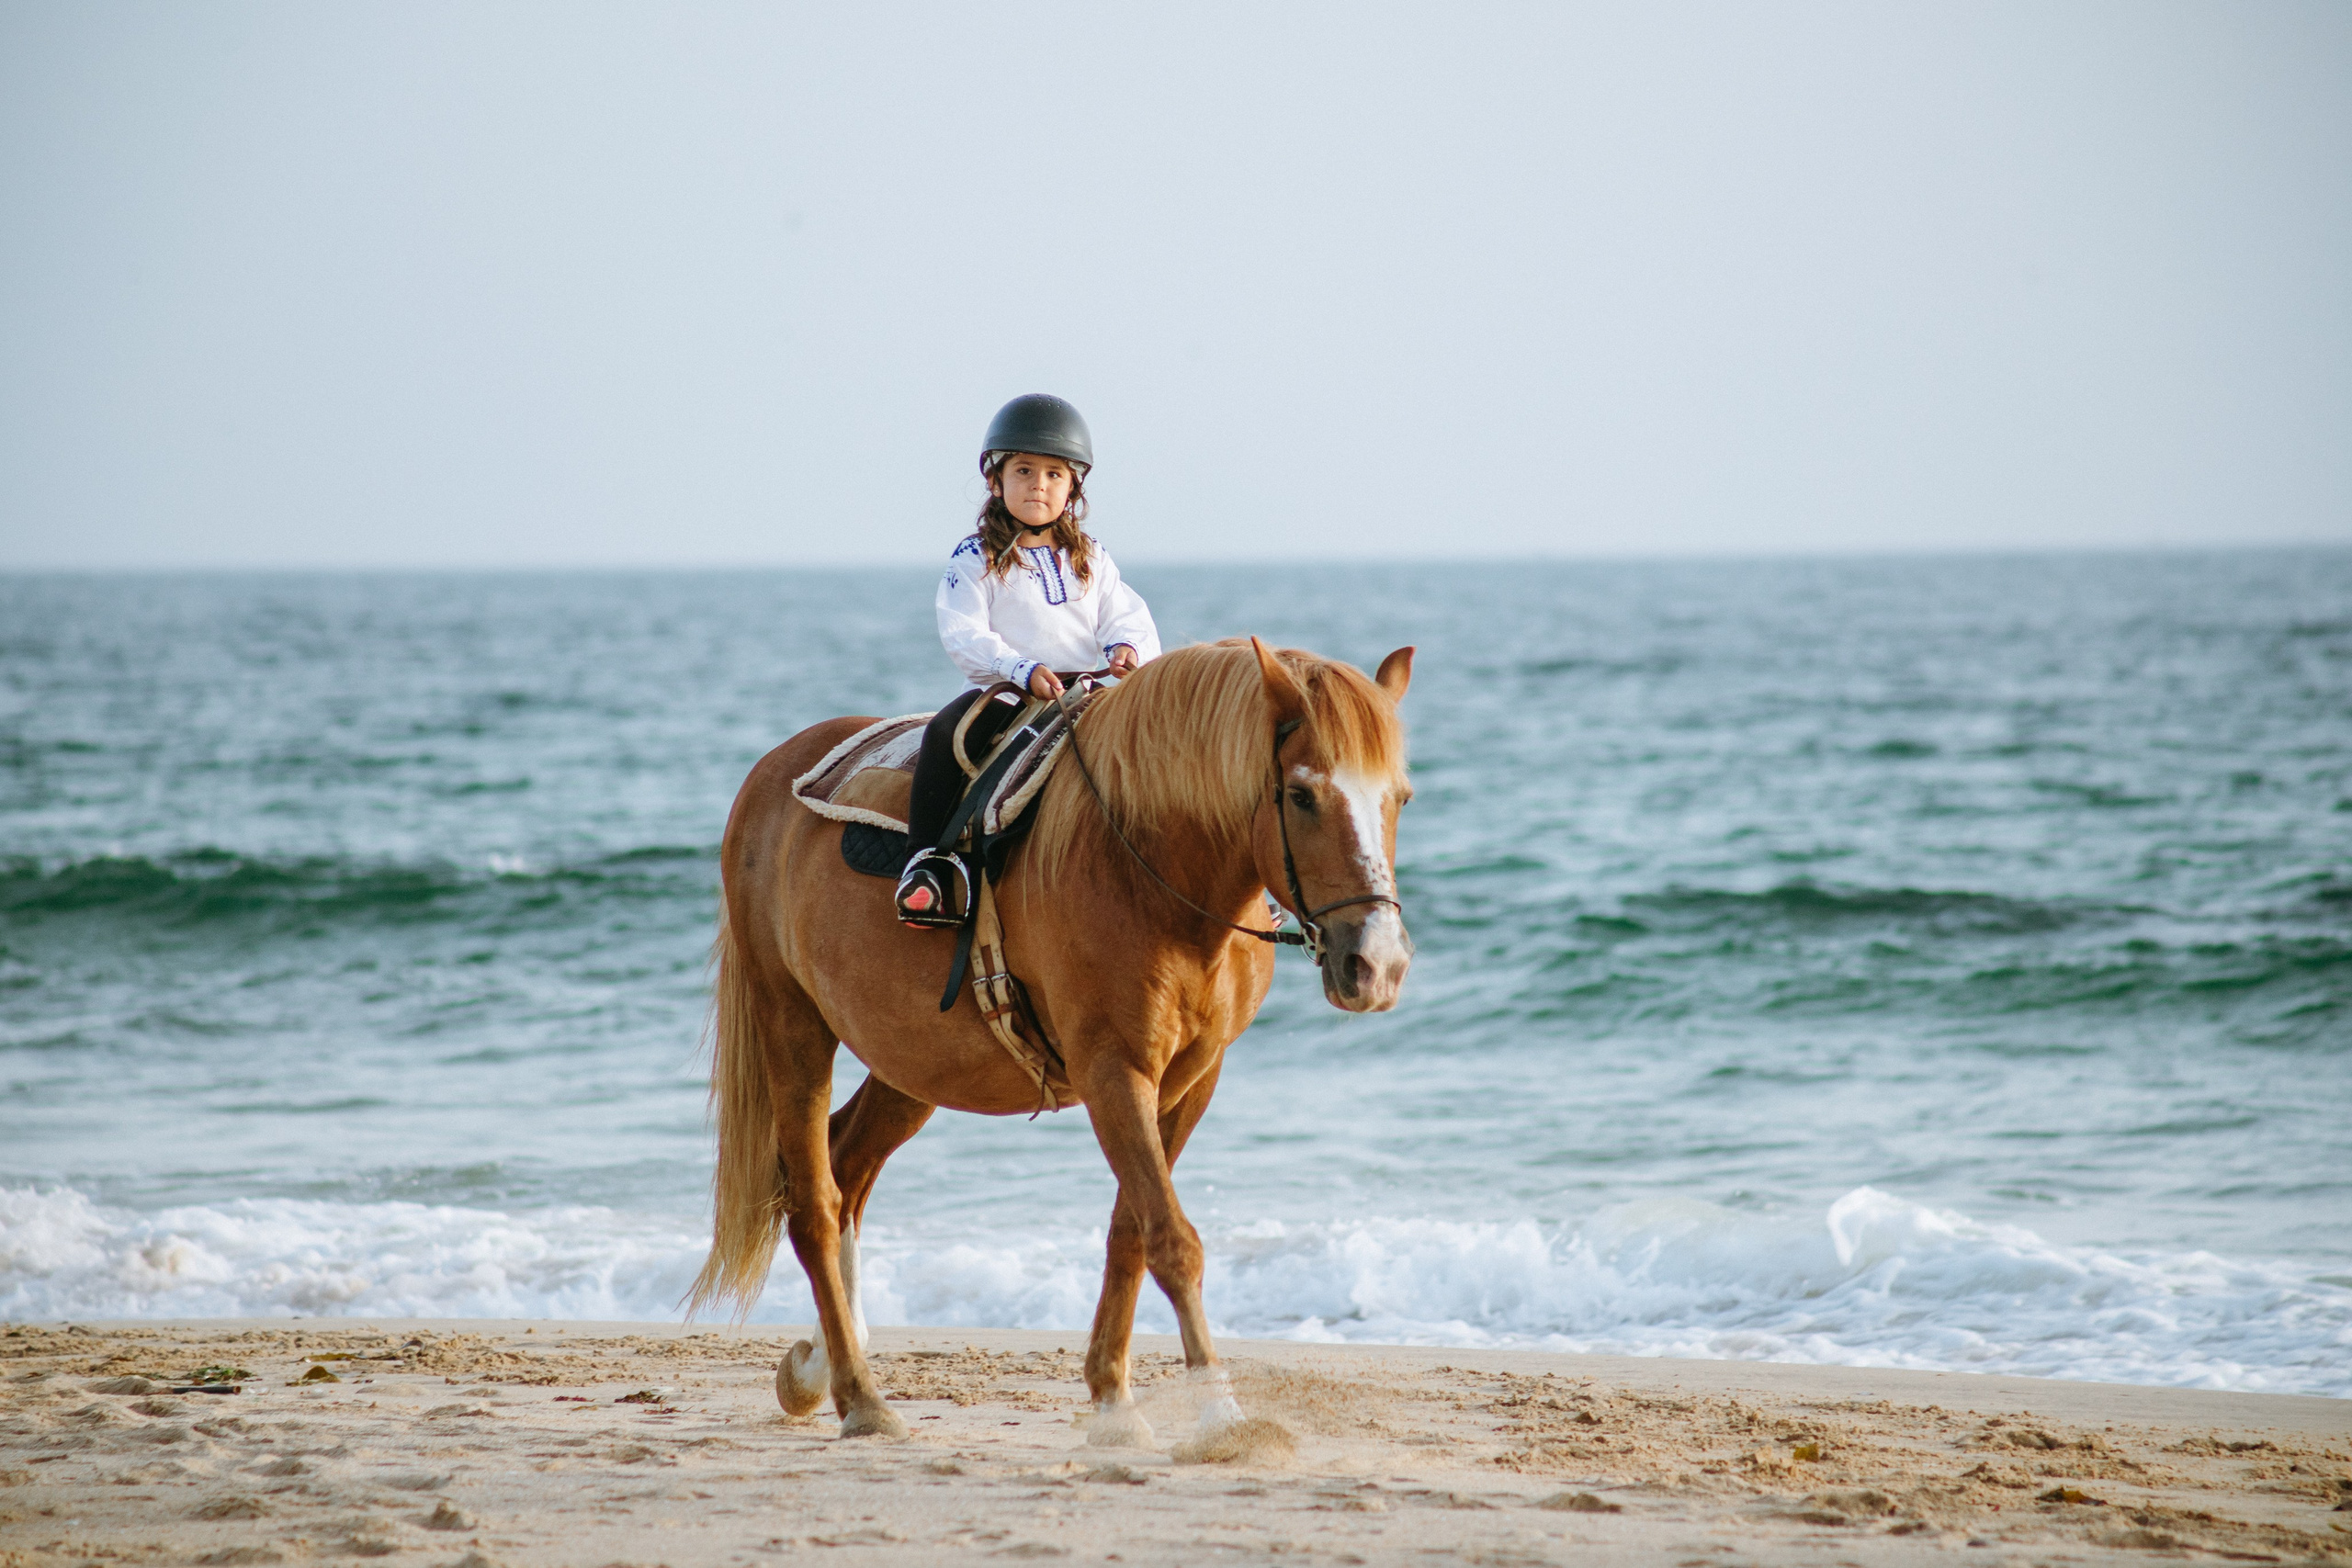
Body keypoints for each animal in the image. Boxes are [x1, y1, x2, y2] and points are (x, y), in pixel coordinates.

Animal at [686, 636, 1414, 1447]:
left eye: (1400, 797)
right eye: (1302, 794)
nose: (1377, 964)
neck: (1148, 862)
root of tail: (772, 774)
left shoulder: (1191, 1080)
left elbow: (1133, 1230)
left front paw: (1113, 1398)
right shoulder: (1112, 1072)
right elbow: (1173, 1239)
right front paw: (1219, 1412)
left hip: (915, 1061)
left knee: (847, 1168)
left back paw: (818, 1366)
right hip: (793, 1022)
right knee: (813, 1199)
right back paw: (861, 1395)